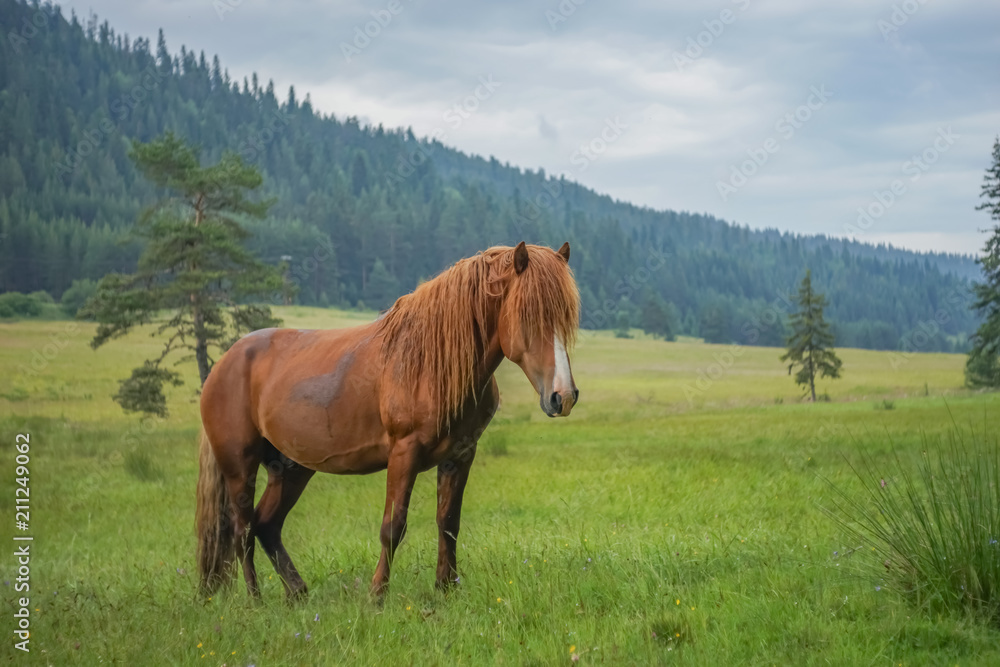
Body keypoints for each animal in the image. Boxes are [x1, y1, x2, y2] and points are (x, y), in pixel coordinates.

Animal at [197, 241, 580, 600]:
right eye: (529, 315)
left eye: (565, 317)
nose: (563, 396)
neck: (432, 363)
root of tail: (224, 364)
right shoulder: (403, 453)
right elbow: (393, 527)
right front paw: (377, 595)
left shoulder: (460, 455)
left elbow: (448, 523)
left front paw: (446, 590)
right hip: (240, 466)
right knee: (243, 531)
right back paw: (256, 601)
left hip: (290, 467)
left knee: (267, 525)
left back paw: (298, 594)